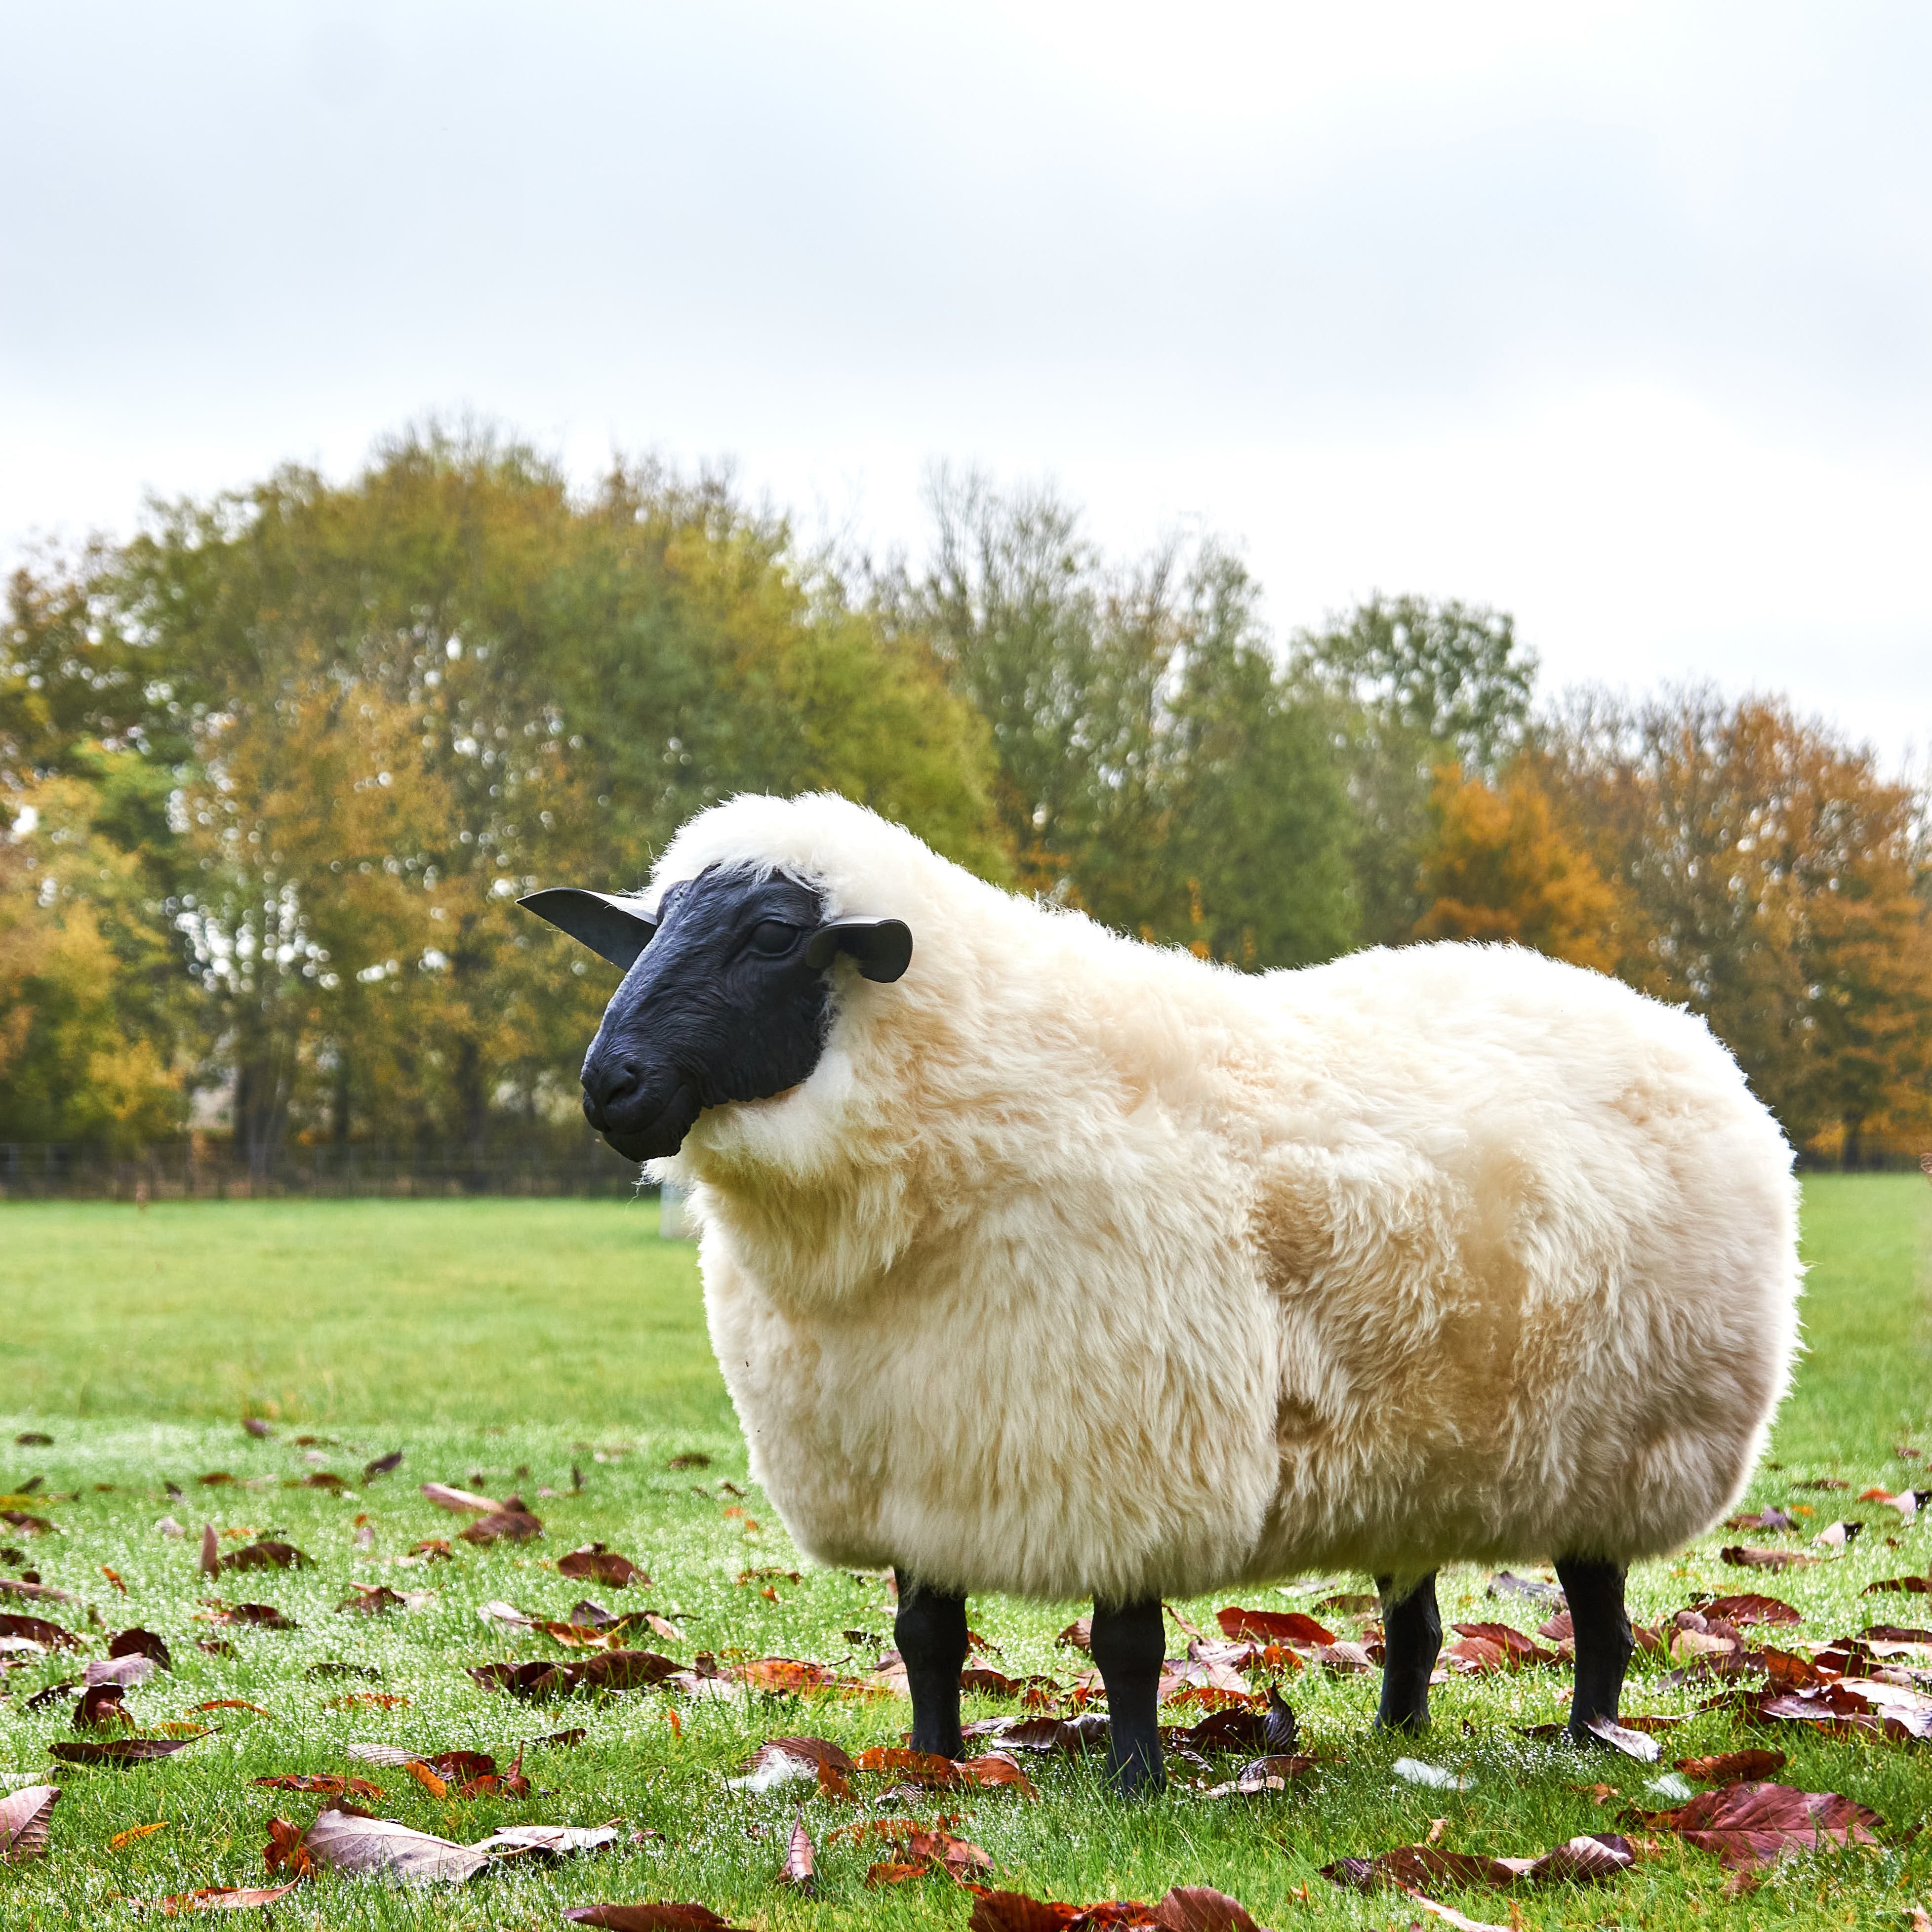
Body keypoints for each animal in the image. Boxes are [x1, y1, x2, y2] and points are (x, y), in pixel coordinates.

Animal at [523, 790, 1802, 1796]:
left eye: (773, 936)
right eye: (646, 933)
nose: (609, 1085)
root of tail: (1685, 1033)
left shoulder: (1127, 1452)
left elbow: (1124, 1645)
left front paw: (1132, 1784)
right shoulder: (916, 1452)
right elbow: (925, 1635)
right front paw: (933, 1764)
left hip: (1616, 1444)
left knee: (1602, 1616)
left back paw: (1592, 1739)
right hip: (1426, 1450)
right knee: (1419, 1614)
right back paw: (1398, 1727)